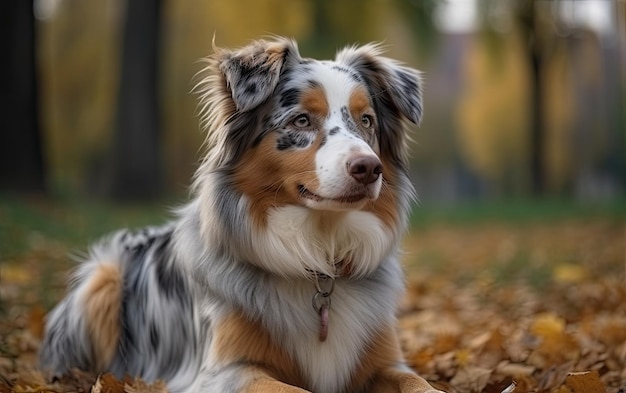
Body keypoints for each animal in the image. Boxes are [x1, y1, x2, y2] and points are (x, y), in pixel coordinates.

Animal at [39, 36, 442, 392]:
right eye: (301, 120)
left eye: (367, 120)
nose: (369, 168)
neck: (319, 257)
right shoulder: (228, 371)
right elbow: (291, 390)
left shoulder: (387, 361)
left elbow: (419, 384)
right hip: (102, 280)